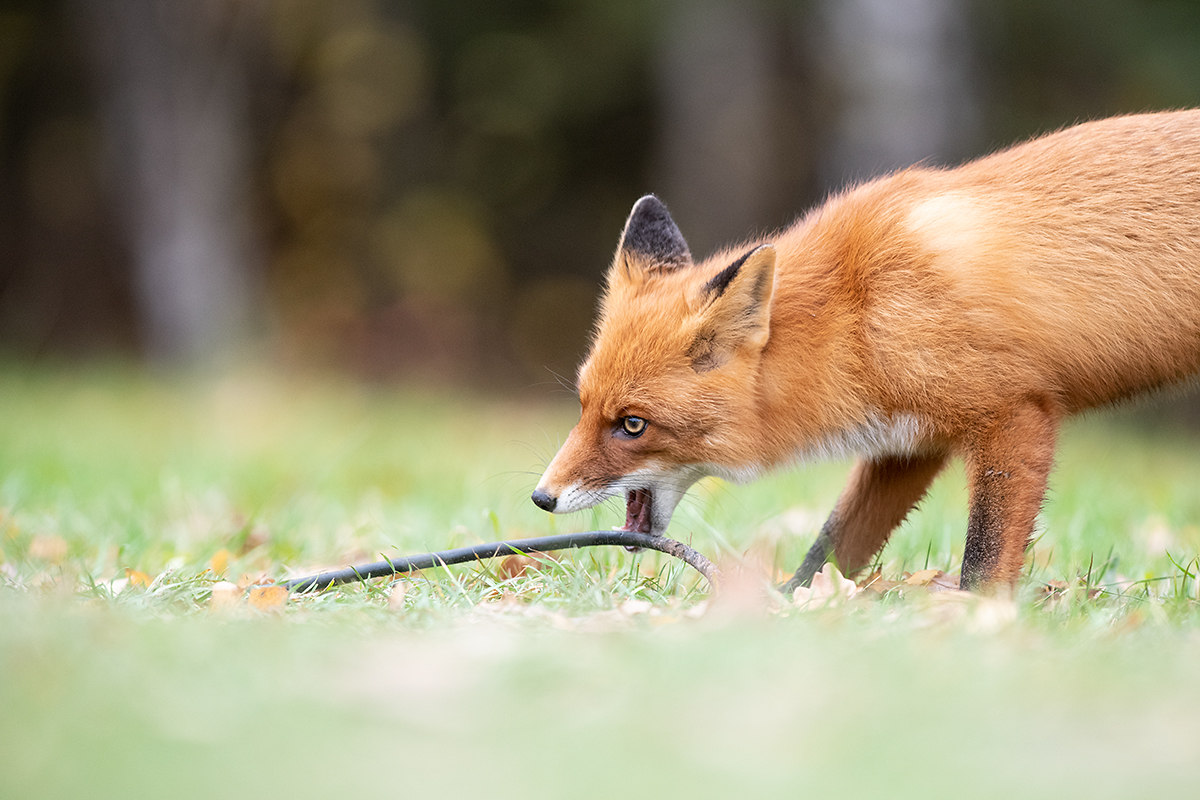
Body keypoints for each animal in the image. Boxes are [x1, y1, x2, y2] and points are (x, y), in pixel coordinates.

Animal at [530, 109, 1200, 592]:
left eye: (632, 425)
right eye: (583, 406)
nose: (541, 497)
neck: (861, 316)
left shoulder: (1014, 415)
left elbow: (983, 560)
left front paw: (978, 622)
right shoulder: (909, 445)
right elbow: (831, 546)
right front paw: (791, 608)